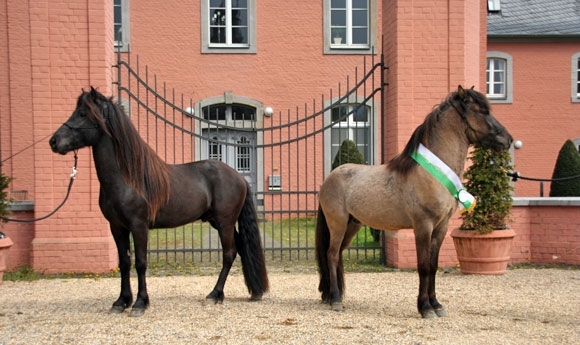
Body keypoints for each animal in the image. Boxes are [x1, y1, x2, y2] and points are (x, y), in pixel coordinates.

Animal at [49, 87, 268, 316]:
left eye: (83, 113)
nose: (54, 141)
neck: (127, 178)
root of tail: (239, 177)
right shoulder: (117, 227)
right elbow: (125, 263)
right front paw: (121, 302)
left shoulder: (139, 226)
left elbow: (141, 263)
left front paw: (140, 303)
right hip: (218, 222)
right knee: (240, 248)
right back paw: (247, 292)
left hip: (224, 222)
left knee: (229, 254)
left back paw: (214, 294)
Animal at [318, 86, 512, 318]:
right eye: (482, 111)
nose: (508, 140)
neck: (431, 172)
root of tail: (330, 178)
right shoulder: (423, 226)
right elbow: (423, 266)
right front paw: (425, 308)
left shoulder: (441, 227)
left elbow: (434, 265)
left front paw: (436, 305)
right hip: (337, 223)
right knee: (331, 255)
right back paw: (335, 299)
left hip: (352, 225)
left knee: (337, 254)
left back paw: (332, 296)